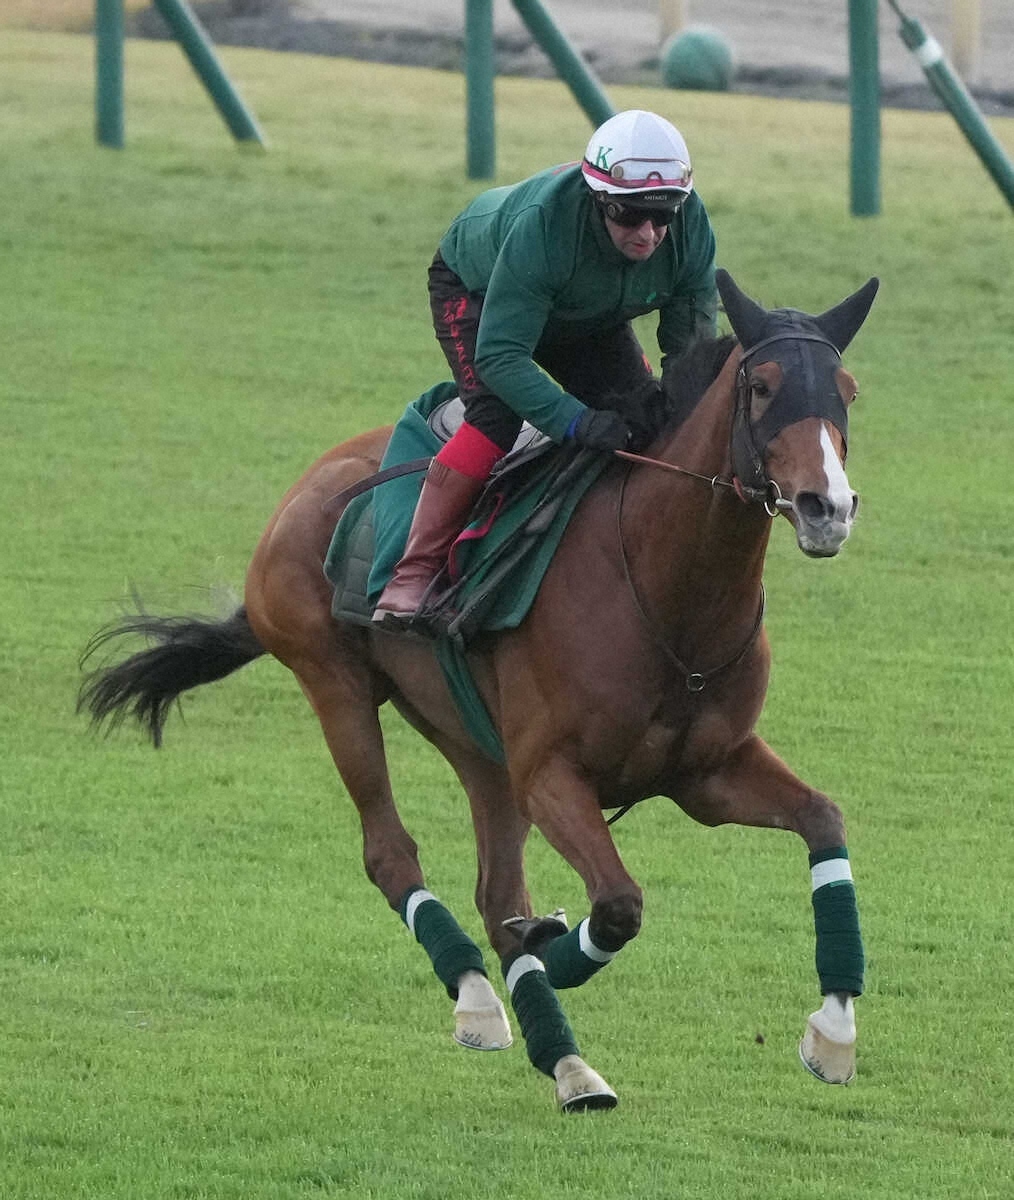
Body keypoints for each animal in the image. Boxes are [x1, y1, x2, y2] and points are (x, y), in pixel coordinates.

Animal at [79, 268, 878, 1111]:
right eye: (762, 386)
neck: (668, 594)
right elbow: (617, 907)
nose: (827, 508)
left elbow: (823, 820)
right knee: (394, 857)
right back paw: (479, 999)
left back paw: (569, 1065)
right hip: (336, 687)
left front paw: (834, 1031)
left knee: (496, 892)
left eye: (847, 392)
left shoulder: (707, 773)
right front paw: (552, 948)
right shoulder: (552, 775)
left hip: (476, 745)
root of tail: (310, 485)